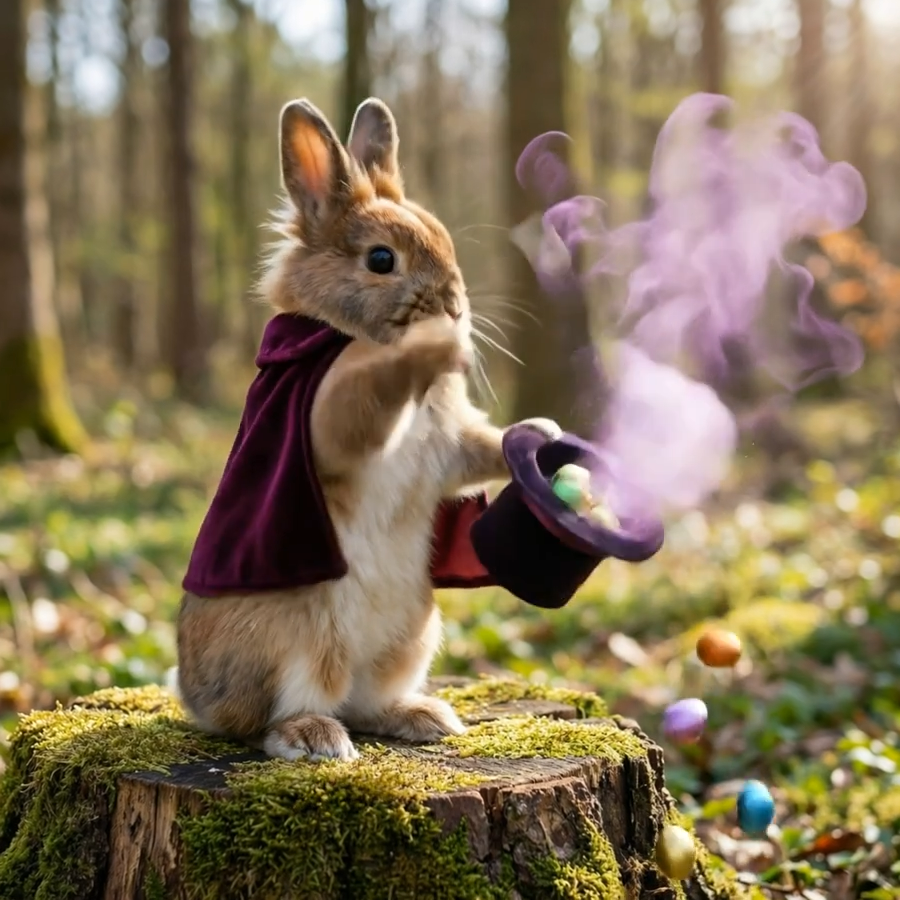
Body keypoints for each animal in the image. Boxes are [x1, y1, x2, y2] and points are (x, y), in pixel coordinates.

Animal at [173, 96, 561, 762]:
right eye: (381, 259)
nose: (455, 308)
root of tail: (196, 702)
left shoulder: (451, 448)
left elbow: (482, 447)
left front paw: (542, 431)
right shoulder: (329, 417)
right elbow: (364, 407)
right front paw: (433, 349)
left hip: (412, 635)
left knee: (368, 702)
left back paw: (426, 717)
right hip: (297, 639)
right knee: (275, 718)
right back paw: (315, 738)